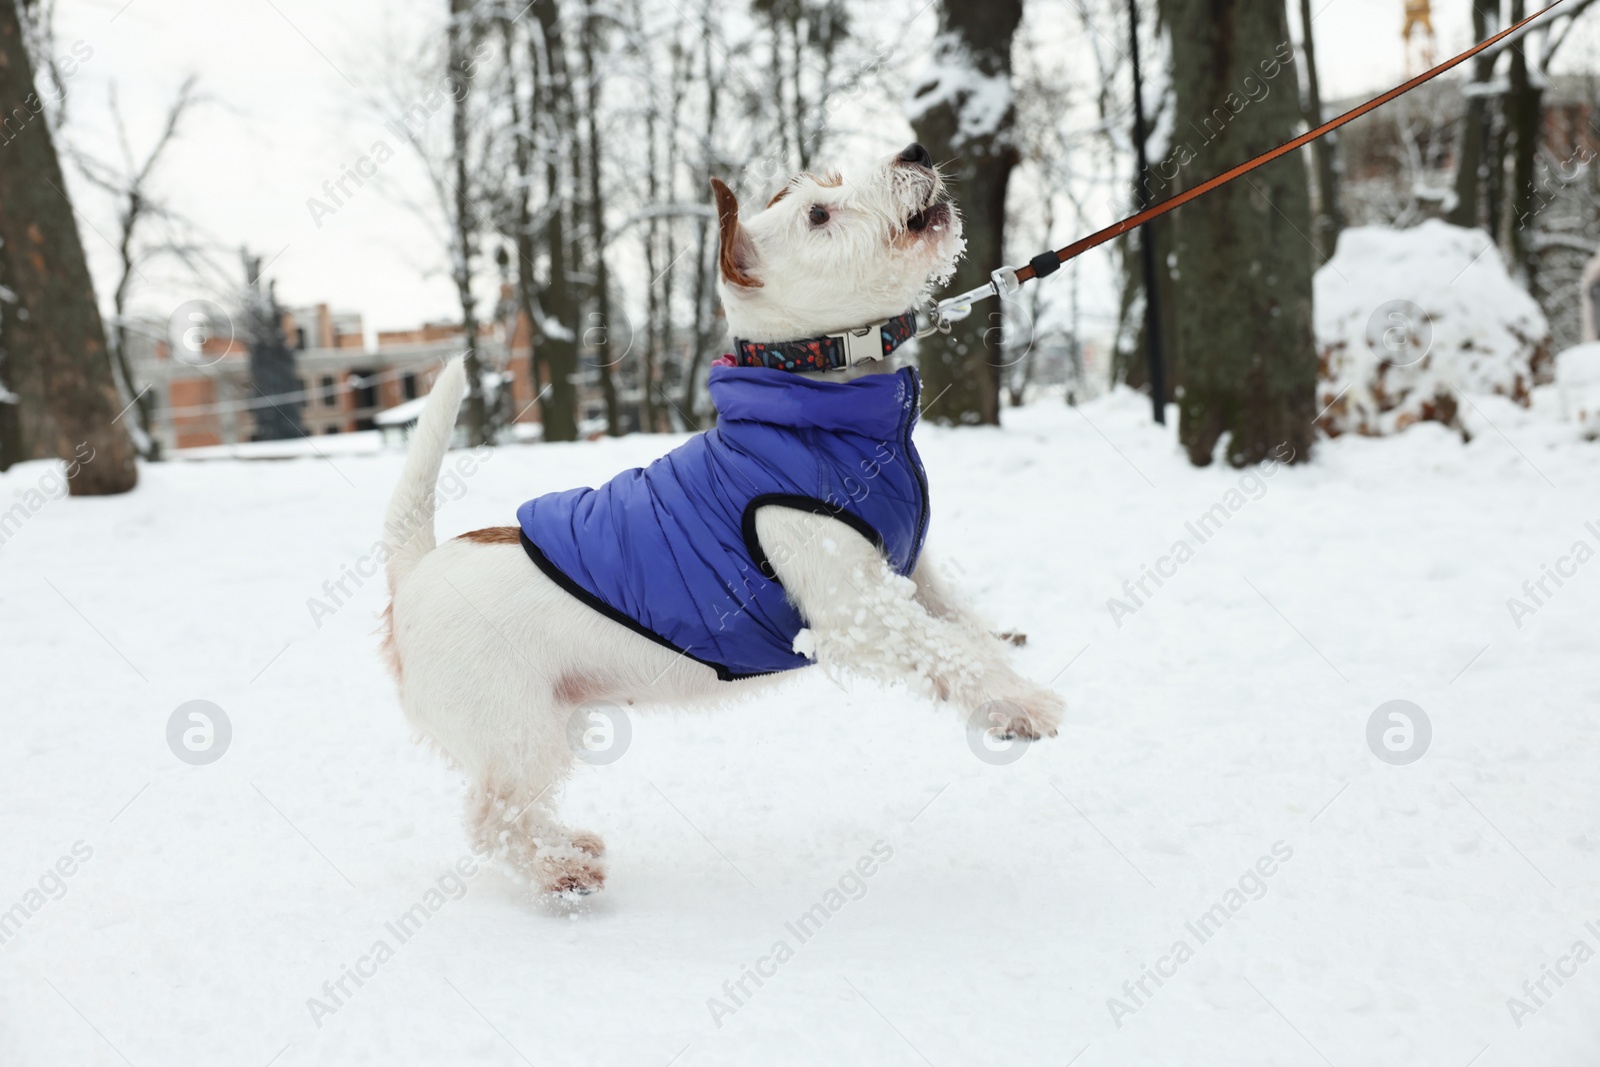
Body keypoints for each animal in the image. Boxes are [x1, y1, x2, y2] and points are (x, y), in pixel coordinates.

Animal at [382, 139, 1068, 895]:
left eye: (831, 182)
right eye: (819, 214)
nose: (913, 150)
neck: (815, 396)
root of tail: (416, 571)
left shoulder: (912, 581)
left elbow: (965, 636)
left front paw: (1009, 696)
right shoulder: (855, 612)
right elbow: (953, 651)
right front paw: (1028, 705)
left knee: (513, 809)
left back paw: (567, 849)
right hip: (515, 727)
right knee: (490, 816)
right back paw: (561, 870)